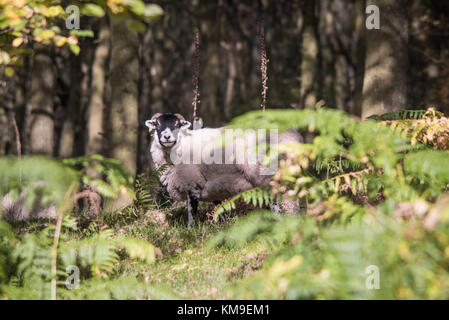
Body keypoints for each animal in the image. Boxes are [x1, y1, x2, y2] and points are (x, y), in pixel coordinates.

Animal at [145, 112, 302, 228]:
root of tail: (292, 135)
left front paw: (190, 232)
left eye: (177, 124)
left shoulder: (192, 184)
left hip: (265, 175)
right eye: (157, 124)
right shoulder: (212, 188)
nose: (166, 137)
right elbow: (218, 210)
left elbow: (191, 213)